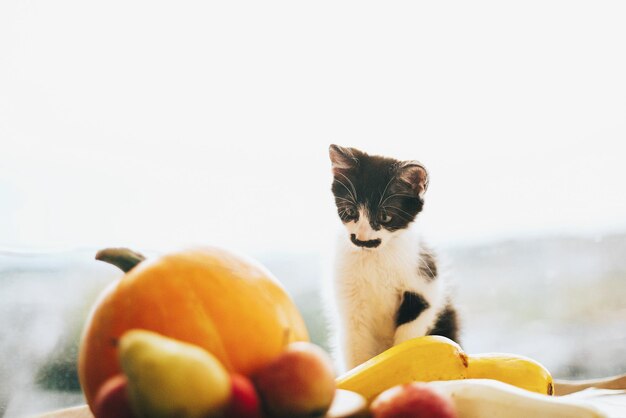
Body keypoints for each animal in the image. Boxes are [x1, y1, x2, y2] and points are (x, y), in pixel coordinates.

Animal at [326, 145, 458, 370]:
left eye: (385, 216)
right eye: (350, 211)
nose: (361, 239)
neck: (374, 256)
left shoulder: (426, 280)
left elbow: (411, 329)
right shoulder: (350, 306)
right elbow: (356, 346)